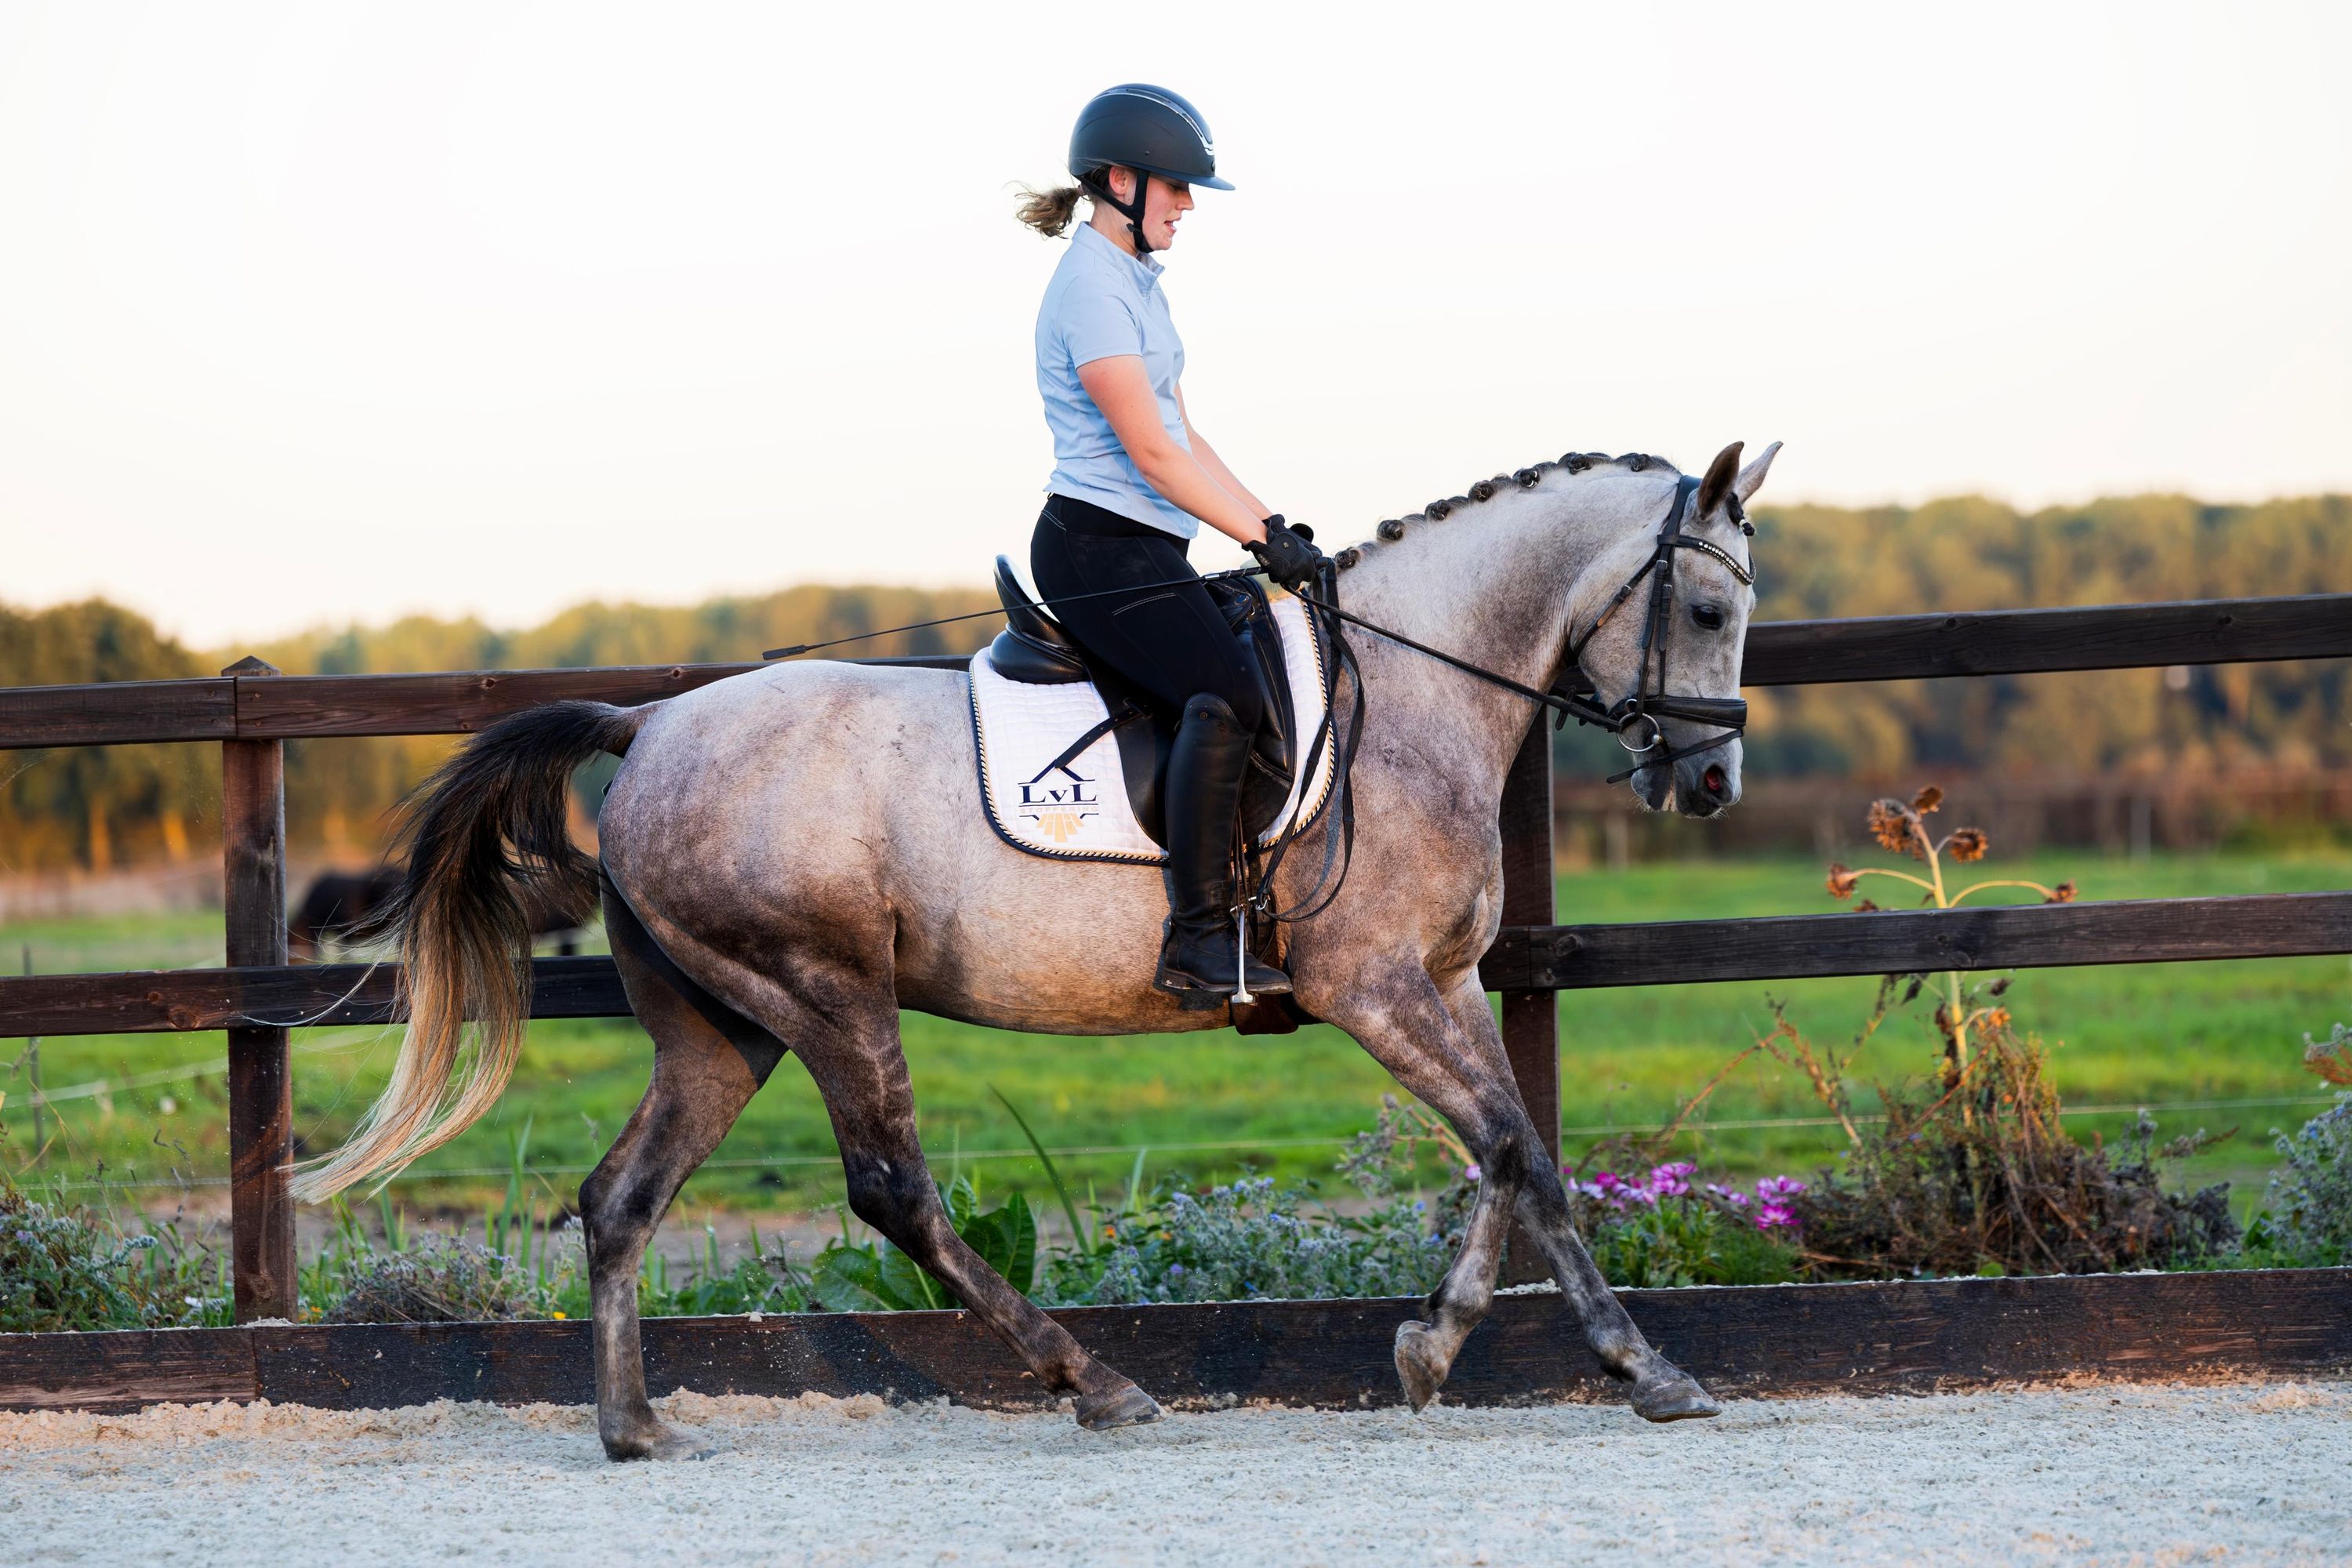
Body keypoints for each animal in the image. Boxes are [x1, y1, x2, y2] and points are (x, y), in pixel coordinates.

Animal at [294, 439, 1778, 1460]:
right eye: (1711, 613)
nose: (1710, 784)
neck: (1411, 692)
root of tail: (646, 726)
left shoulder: (1448, 983)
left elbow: (1514, 1155)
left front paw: (1445, 1346)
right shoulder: (1371, 989)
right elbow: (1517, 1149)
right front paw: (1633, 1370)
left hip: (725, 1027)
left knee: (621, 1200)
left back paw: (635, 1429)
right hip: (826, 994)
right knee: (894, 1195)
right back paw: (1097, 1385)